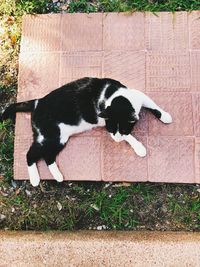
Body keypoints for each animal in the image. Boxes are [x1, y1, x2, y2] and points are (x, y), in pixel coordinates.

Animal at [1, 77, 172, 186]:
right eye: (110, 129)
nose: (115, 139)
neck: (116, 98)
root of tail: (37, 101)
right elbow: (129, 137)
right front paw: (139, 147)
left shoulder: (139, 96)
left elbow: (153, 104)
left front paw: (165, 116)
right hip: (50, 135)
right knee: (30, 154)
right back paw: (35, 180)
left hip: (57, 138)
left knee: (47, 156)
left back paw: (57, 175)